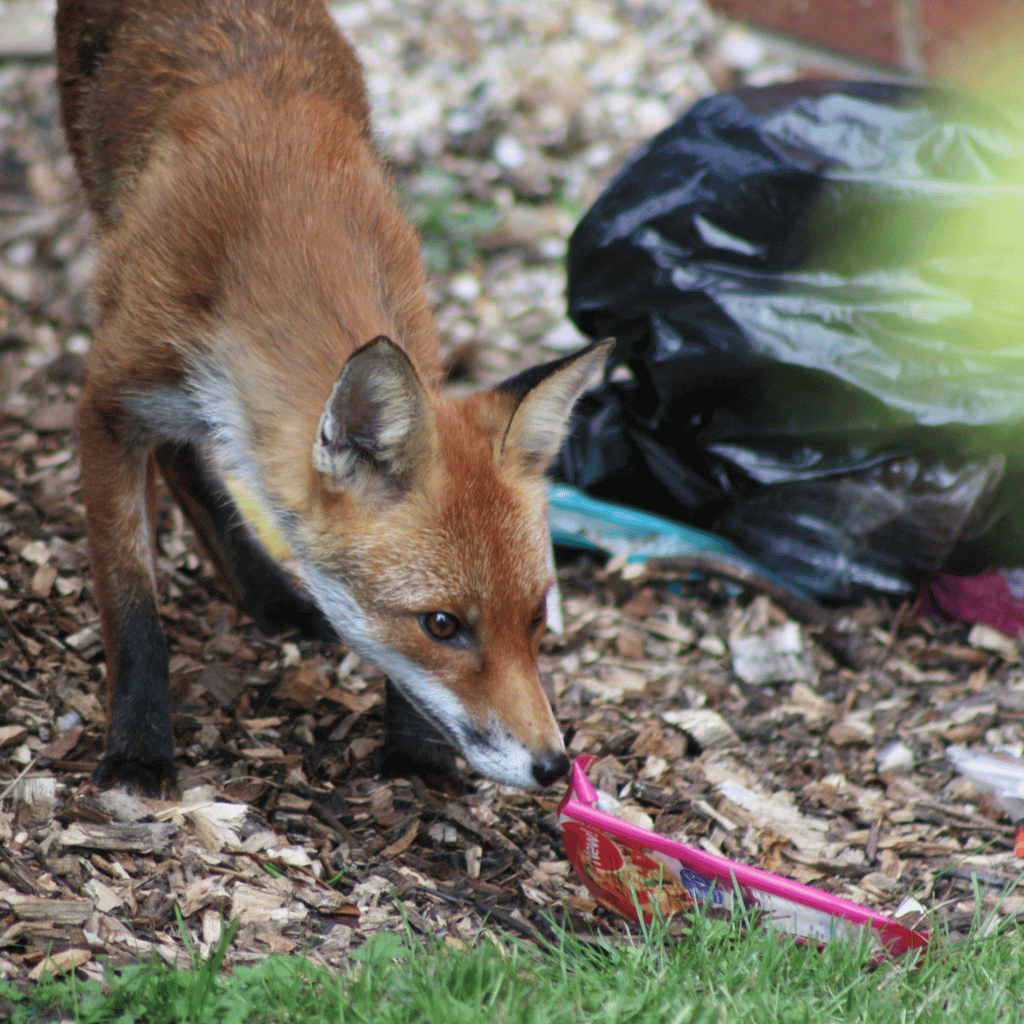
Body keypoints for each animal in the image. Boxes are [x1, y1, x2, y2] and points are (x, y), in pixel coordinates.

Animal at [55, 0, 609, 797]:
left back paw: (271, 592)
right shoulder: (108, 402)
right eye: (442, 625)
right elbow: (131, 604)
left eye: (537, 617)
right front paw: (138, 748)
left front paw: (414, 747)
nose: (553, 766)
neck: (286, 217)